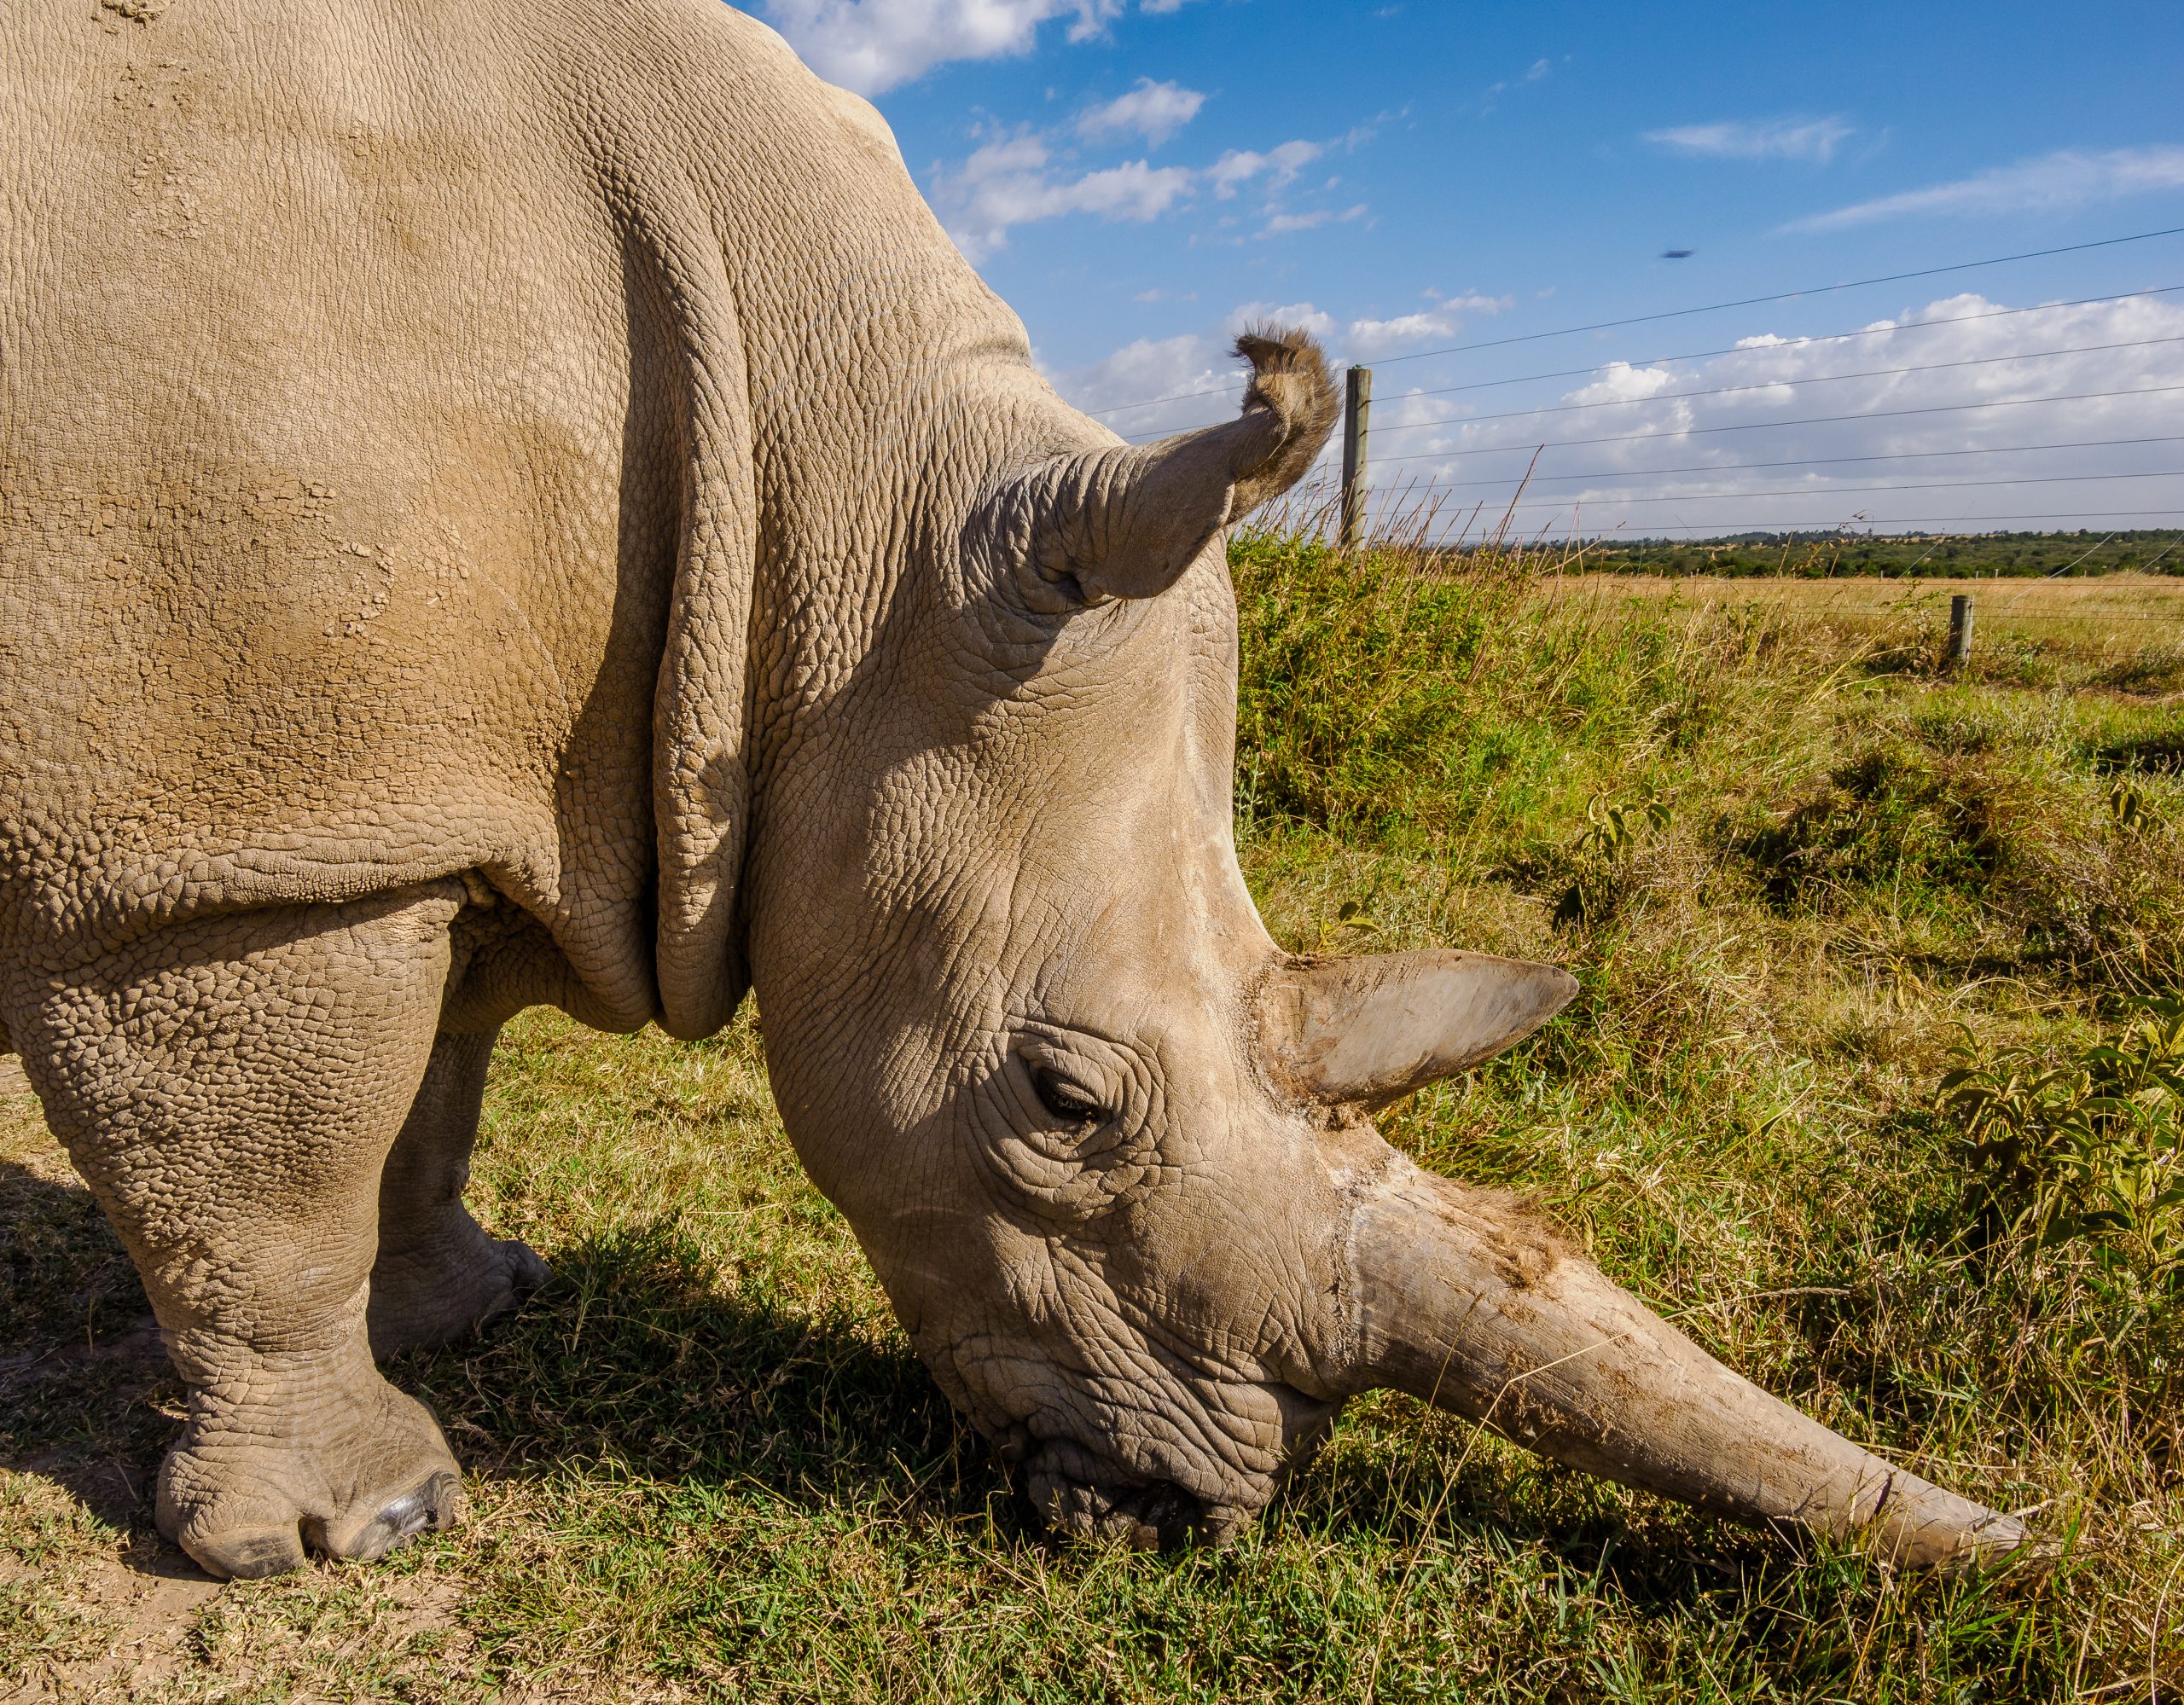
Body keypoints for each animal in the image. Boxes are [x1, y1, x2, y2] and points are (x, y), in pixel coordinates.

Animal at [0, 0, 2025, 1581]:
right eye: (1062, 1102)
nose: (1200, 1512)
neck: (829, 515)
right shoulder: (238, 842)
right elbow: (273, 1168)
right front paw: (366, 1525)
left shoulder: (428, 782)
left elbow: (432, 1077)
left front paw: (473, 1303)